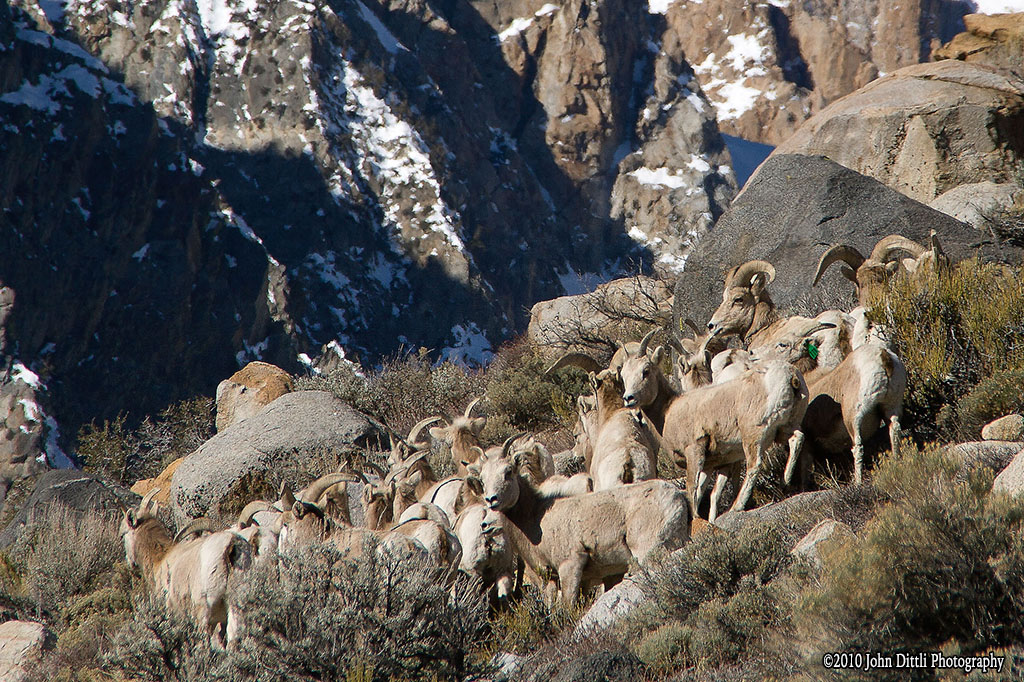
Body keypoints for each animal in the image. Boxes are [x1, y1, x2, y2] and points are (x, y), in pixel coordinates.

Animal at [119, 489, 253, 648]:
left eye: (123, 534)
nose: (130, 563)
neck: (161, 559)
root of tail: (230, 546)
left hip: (205, 611)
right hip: (235, 608)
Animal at [470, 439, 690, 606]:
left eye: (508, 472)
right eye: (482, 479)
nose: (491, 499)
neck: (536, 518)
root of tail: (679, 498)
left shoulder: (570, 566)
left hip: (651, 552)